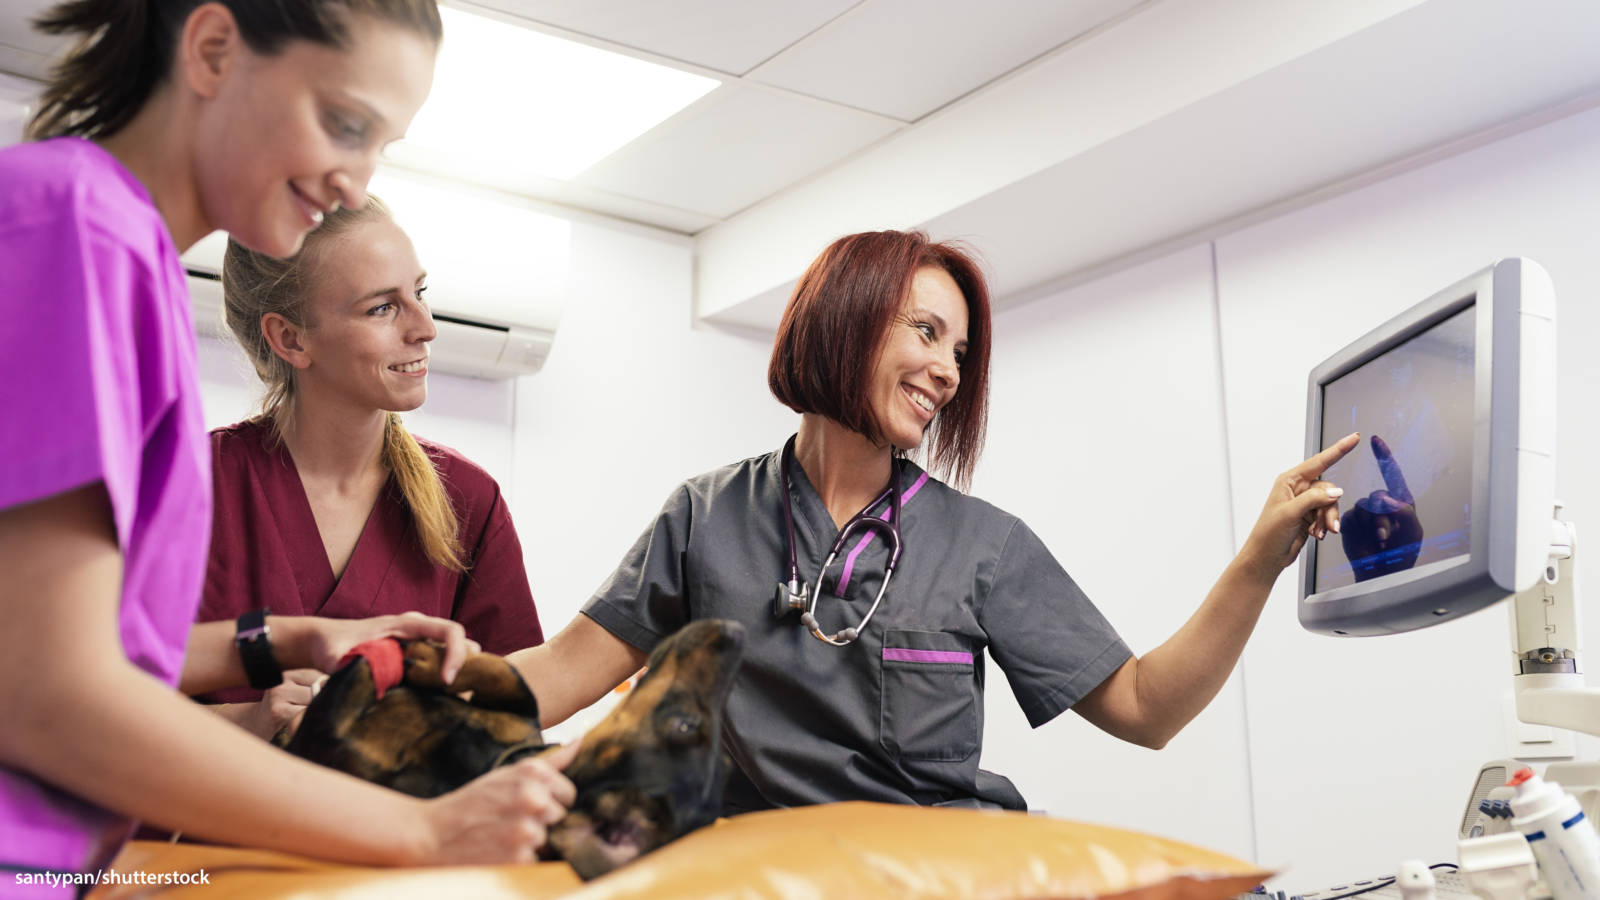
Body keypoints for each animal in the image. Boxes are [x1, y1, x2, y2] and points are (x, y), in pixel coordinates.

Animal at [280, 614, 742, 877]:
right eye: (725, 767)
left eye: (685, 725)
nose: (735, 633)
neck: (486, 763)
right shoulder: (519, 714)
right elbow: (507, 675)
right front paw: (436, 654)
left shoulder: (332, 737)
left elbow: (350, 685)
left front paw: (386, 654)